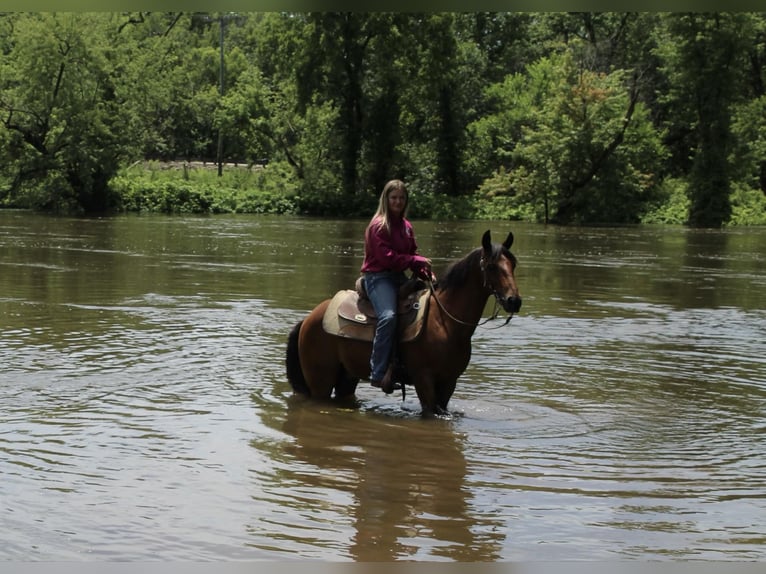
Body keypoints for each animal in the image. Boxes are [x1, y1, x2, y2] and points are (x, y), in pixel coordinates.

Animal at [284, 230, 524, 418]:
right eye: (491, 266)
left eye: (513, 264)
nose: (514, 301)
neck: (445, 323)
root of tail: (310, 318)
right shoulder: (424, 379)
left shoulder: (449, 382)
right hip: (320, 380)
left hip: (347, 377)